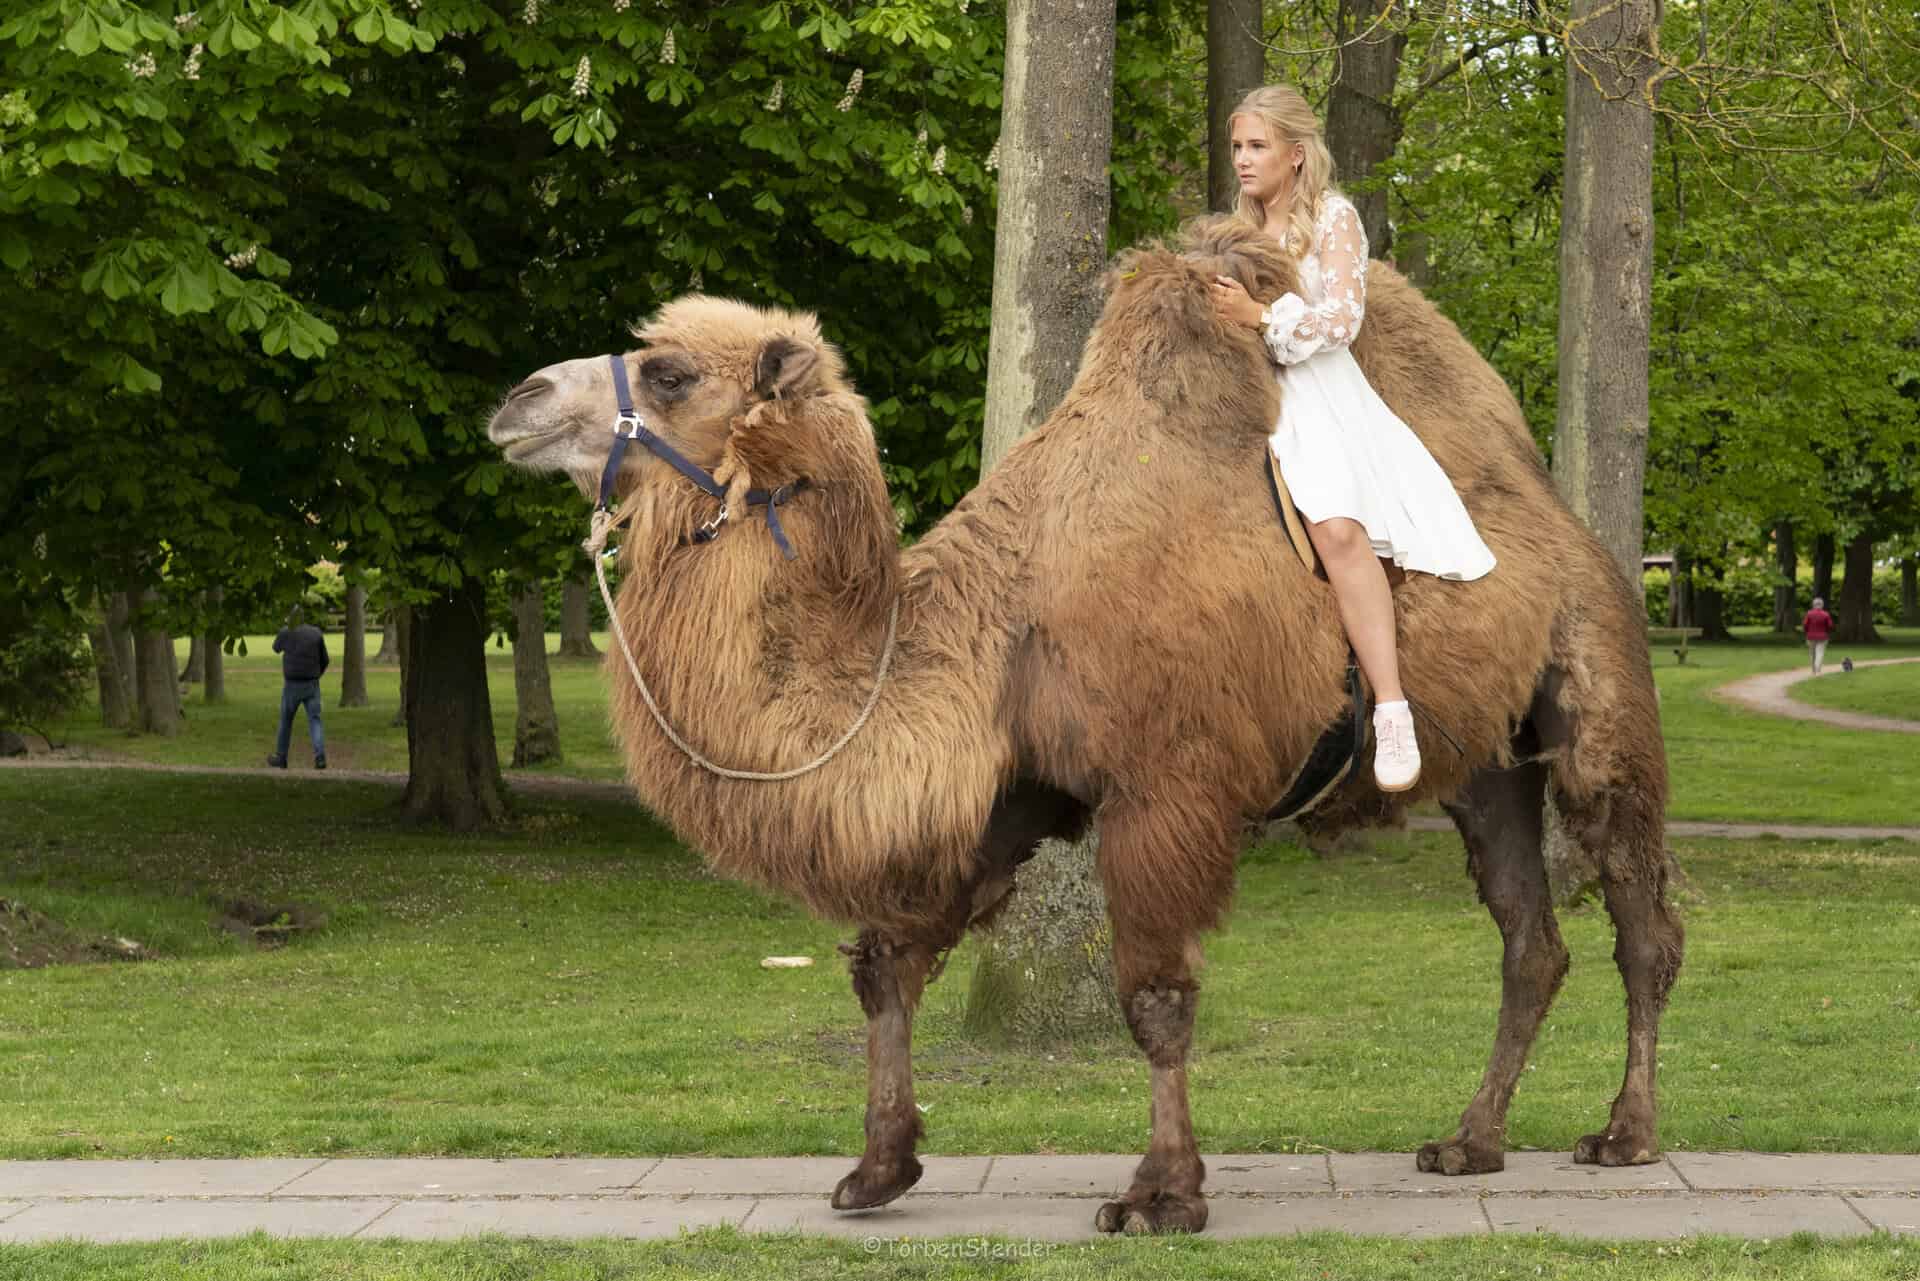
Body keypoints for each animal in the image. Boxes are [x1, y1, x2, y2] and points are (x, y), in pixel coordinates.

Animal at [485, 218, 1682, 1236]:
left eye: (671, 372)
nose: (516, 398)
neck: (990, 627)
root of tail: (1564, 518)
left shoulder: (1165, 787)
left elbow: (1152, 996)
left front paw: (1160, 1195)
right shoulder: (1008, 791)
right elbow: (887, 964)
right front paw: (877, 1169)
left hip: (1600, 682)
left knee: (1639, 916)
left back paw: (1624, 1136)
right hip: (1486, 765)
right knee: (1530, 939)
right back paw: (1470, 1141)